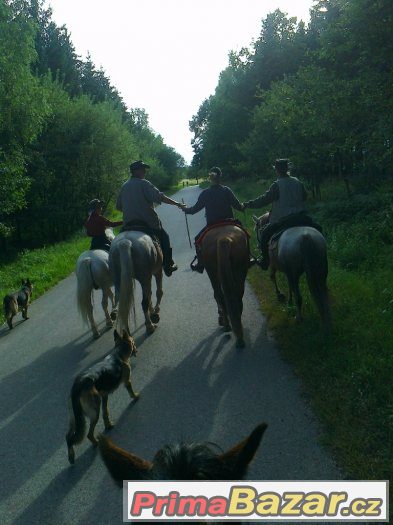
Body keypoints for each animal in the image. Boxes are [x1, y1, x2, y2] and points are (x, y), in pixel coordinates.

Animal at [64, 330, 138, 464]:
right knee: (88, 434)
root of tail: (78, 385)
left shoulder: (104, 396)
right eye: (133, 342)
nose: (137, 351)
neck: (118, 352)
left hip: (74, 418)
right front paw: (135, 397)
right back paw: (96, 443)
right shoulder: (127, 381)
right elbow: (130, 391)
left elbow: (106, 412)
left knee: (68, 437)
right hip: (94, 412)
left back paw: (71, 456)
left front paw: (108, 425)